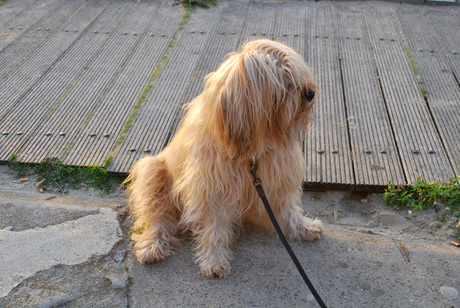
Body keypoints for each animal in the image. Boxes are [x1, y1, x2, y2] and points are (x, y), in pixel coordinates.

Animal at [126, 39, 324, 280]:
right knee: (157, 217)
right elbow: (214, 227)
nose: (310, 92)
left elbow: (288, 210)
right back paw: (152, 245)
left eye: (295, 73)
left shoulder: (278, 180)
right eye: (283, 82)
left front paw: (302, 228)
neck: (253, 149)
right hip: (154, 171)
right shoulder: (212, 190)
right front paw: (214, 259)